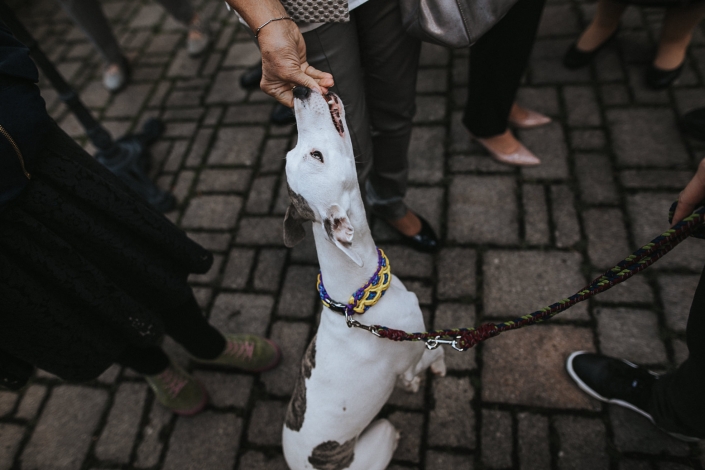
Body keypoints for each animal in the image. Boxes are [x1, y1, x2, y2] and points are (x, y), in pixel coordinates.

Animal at [280, 88, 446, 470]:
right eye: (318, 155)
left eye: (299, 153)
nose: (300, 90)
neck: (362, 298)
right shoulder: (413, 353)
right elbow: (435, 355)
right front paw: (432, 374)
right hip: (380, 433)